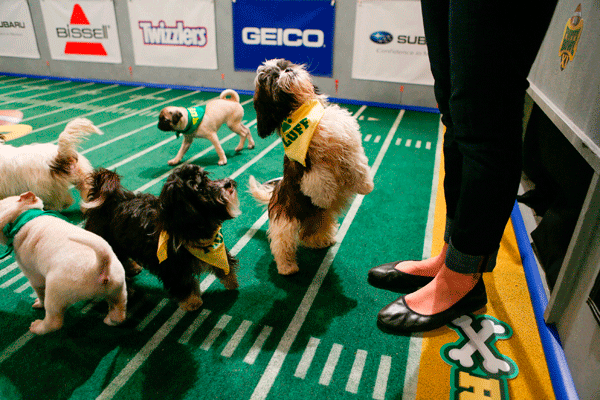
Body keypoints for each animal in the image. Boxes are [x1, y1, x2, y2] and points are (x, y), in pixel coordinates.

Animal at [0, 191, 126, 334]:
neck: (23, 217)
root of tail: (100, 267)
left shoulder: (34, 277)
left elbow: (39, 293)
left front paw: (38, 304)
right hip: (118, 289)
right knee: (119, 313)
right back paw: (110, 320)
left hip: (54, 295)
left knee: (54, 321)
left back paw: (37, 327)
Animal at [82, 164, 241, 310]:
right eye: (200, 189)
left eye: (206, 178)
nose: (228, 183)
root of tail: (106, 203)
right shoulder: (173, 269)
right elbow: (184, 285)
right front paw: (192, 302)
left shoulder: (216, 249)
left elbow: (224, 266)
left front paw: (231, 281)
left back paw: (133, 266)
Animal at [250, 57, 376, 276]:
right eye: (273, 78)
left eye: (285, 65)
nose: (287, 70)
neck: (303, 111)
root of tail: (275, 193)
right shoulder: (308, 165)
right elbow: (319, 179)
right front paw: (323, 196)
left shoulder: (348, 143)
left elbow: (357, 163)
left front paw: (365, 185)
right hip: (285, 222)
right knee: (282, 245)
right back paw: (287, 268)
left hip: (321, 219)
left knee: (309, 235)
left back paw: (321, 241)